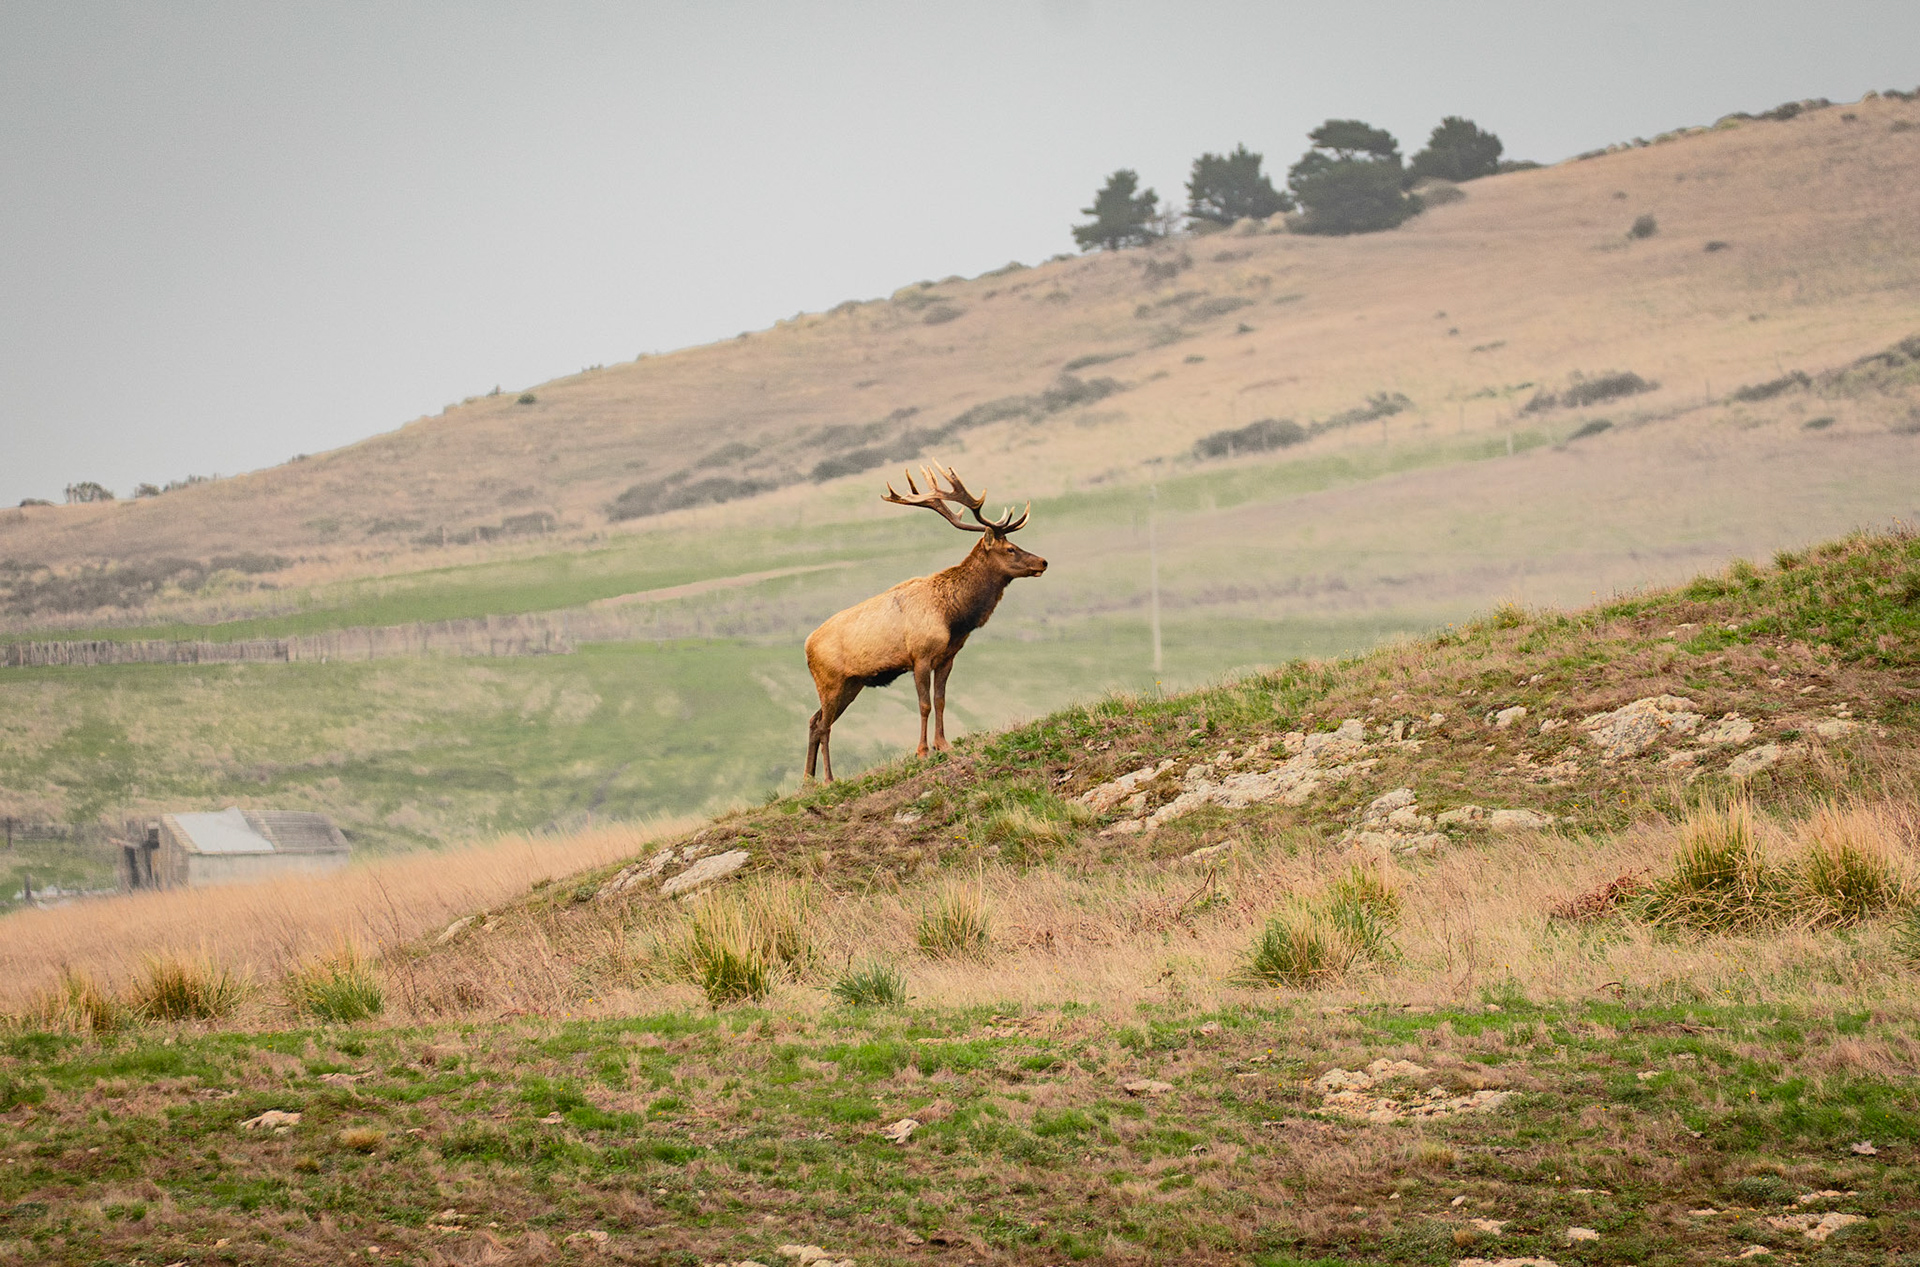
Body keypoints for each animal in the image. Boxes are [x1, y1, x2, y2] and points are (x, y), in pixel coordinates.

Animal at [804, 464, 1047, 782]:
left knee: (814, 720)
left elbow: (941, 700)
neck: (953, 617)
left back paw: (807, 781)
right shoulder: (919, 656)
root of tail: (806, 646)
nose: (1042, 561)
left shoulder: (947, 657)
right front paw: (922, 751)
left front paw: (943, 744)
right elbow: (924, 704)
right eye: (1010, 549)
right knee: (824, 725)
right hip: (830, 681)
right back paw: (829, 779)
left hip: (851, 684)